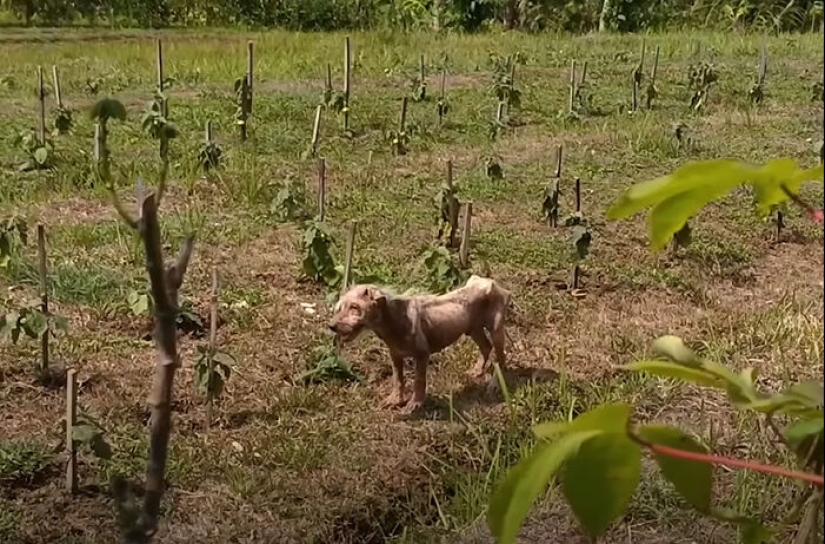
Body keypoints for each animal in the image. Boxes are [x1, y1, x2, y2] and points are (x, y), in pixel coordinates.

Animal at [326, 276, 508, 412]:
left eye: (354, 307)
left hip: (496, 330)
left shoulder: (422, 354)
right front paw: (395, 400)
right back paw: (477, 371)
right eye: (339, 308)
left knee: (501, 358)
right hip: (473, 329)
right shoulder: (395, 354)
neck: (392, 321)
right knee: (486, 347)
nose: (331, 326)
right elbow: (398, 379)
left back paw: (495, 385)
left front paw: (415, 404)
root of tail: (492, 282)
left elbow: (418, 380)